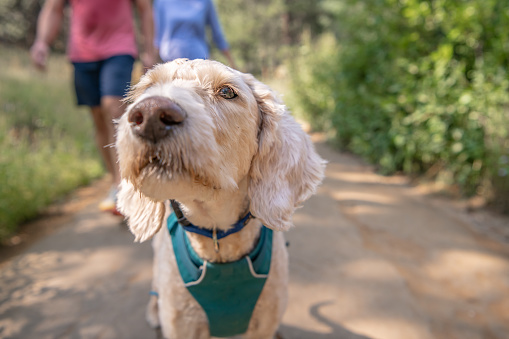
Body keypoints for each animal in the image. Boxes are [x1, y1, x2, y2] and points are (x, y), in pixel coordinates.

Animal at [114, 59, 324, 338]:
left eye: (226, 92)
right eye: (148, 88)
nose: (149, 115)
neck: (218, 239)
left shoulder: (265, 322)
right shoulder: (182, 325)